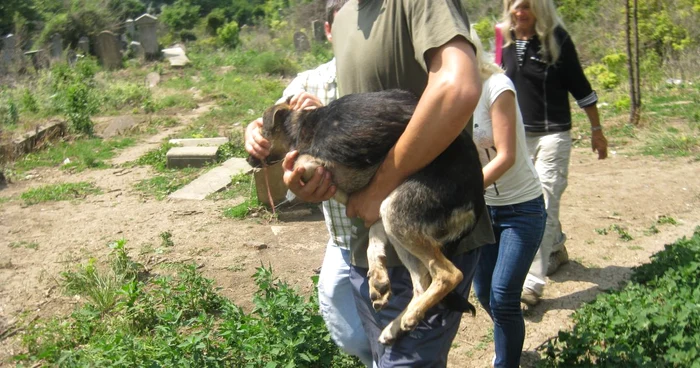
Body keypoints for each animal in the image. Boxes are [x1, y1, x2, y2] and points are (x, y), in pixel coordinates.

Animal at [249, 89, 484, 344]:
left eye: (261, 134)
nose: (248, 159)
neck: (304, 125)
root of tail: (477, 201)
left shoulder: (326, 162)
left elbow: (300, 164)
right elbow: (369, 229)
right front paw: (378, 275)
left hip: (397, 209)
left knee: (448, 274)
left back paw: (410, 313)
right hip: (397, 218)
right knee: (422, 280)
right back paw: (396, 324)